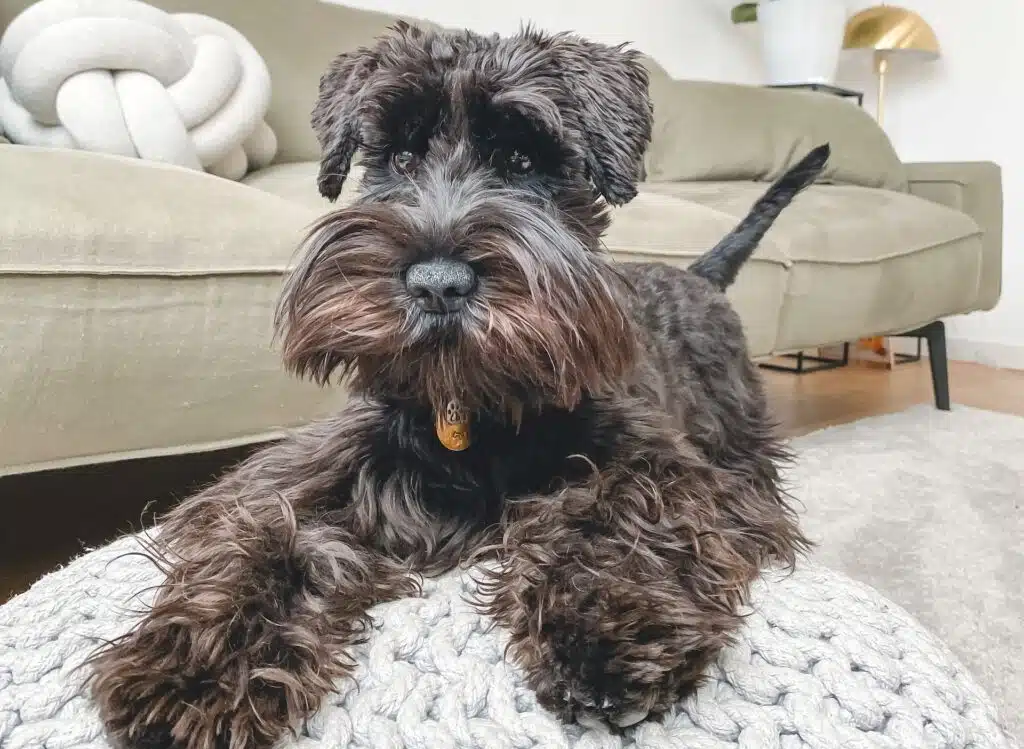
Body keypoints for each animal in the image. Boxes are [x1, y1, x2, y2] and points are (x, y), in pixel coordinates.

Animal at [86, 23, 823, 749]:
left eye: (523, 161)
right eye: (400, 156)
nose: (437, 283)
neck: (475, 407)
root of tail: (699, 274)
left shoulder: (669, 468)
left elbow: (621, 509)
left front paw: (608, 625)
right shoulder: (315, 474)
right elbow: (264, 532)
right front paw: (192, 667)